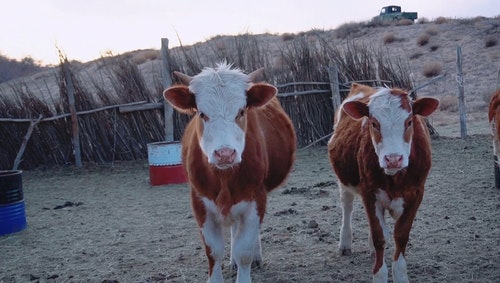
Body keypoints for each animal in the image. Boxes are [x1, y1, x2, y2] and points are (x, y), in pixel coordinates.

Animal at [164, 62, 296, 283]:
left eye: (241, 111)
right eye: (201, 113)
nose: (225, 153)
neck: (224, 178)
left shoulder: (256, 199)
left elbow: (245, 250)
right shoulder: (199, 202)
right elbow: (213, 252)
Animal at [328, 84, 438, 283]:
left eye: (409, 122)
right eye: (374, 123)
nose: (393, 159)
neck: (395, 178)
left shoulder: (417, 193)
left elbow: (401, 235)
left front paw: (400, 275)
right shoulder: (369, 193)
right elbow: (380, 236)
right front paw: (380, 275)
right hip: (344, 181)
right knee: (347, 206)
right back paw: (345, 243)